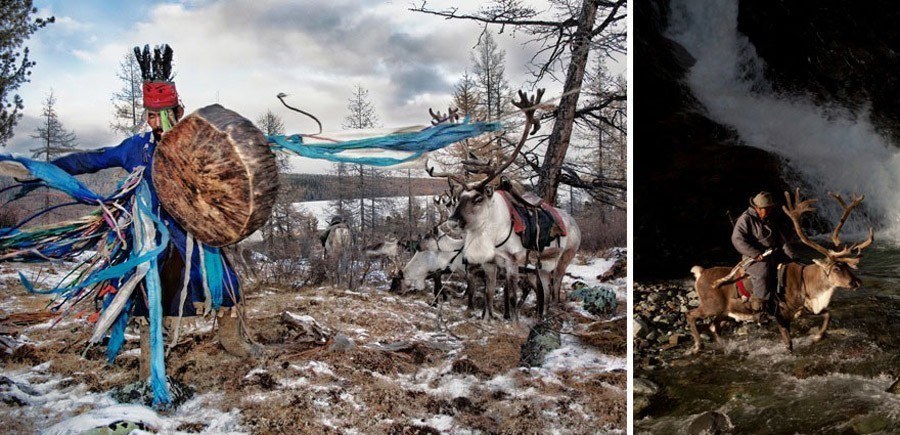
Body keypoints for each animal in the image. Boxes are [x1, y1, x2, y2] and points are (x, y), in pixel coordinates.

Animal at [688, 189, 873, 354]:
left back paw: (722, 346)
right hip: (712, 305)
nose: (857, 282)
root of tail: (700, 273)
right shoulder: (781, 315)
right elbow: (789, 344)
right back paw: (697, 346)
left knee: (713, 326)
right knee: (692, 315)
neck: (807, 285)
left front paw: (817, 337)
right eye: (836, 268)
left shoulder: (804, 311)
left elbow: (828, 315)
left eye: (847, 266)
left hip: (725, 311)